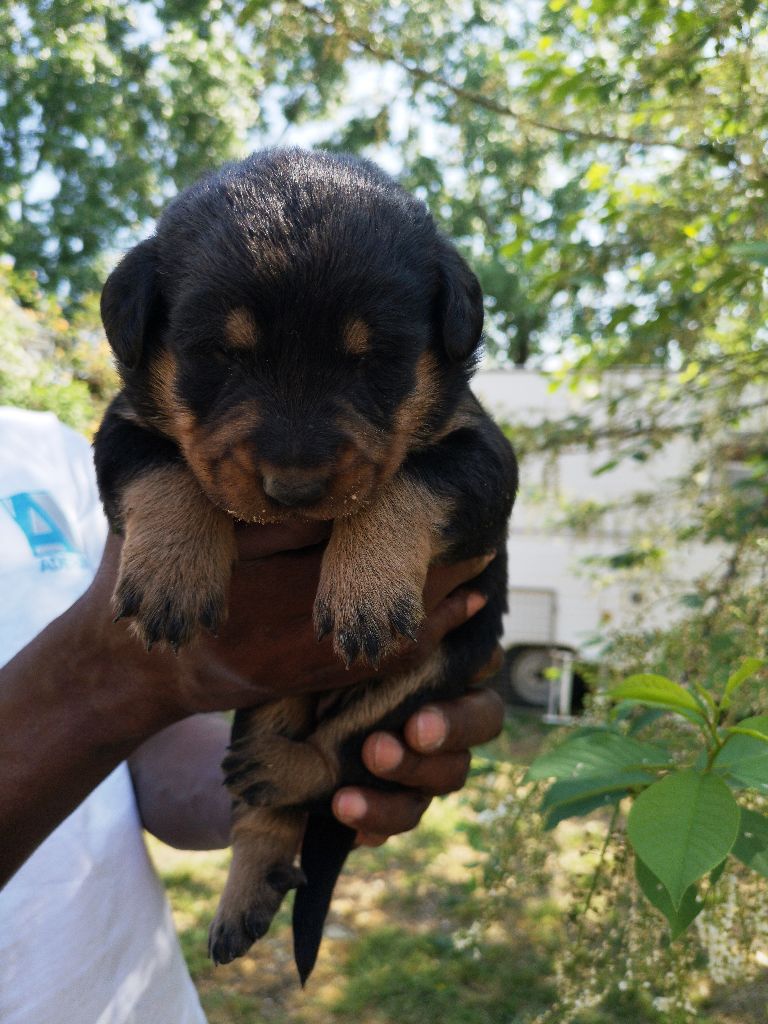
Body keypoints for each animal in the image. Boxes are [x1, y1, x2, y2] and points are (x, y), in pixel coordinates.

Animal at [93, 147, 518, 982]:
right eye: (220, 357)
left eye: (372, 362)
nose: (294, 486)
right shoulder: (117, 429)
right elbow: (159, 464)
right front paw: (170, 574)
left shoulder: (487, 457)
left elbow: (413, 481)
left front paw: (365, 589)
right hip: (268, 698)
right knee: (268, 811)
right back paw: (245, 892)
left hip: (440, 668)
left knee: (343, 759)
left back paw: (289, 774)